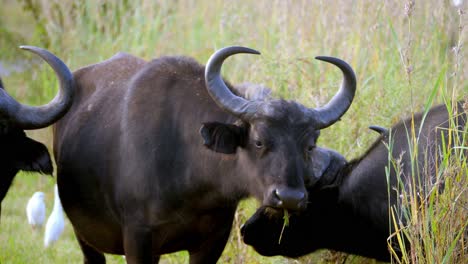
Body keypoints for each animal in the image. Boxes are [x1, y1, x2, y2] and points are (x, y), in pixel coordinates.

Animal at [52, 46, 358, 262]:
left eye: (310, 145)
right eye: (259, 141)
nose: (290, 198)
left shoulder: (213, 240)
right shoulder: (137, 238)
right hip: (85, 237)